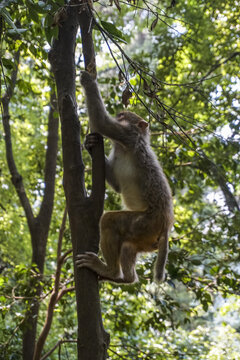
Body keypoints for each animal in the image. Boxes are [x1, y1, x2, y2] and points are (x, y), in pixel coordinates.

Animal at [76, 71, 173, 284]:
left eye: (121, 117)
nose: (118, 115)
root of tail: (166, 225)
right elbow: (117, 185)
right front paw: (89, 144)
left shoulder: (126, 134)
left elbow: (102, 122)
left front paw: (88, 80)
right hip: (146, 237)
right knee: (129, 246)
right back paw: (125, 278)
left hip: (145, 223)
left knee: (110, 221)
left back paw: (111, 271)